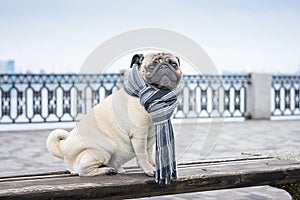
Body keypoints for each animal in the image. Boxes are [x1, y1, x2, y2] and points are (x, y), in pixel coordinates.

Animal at [47, 52, 183, 177]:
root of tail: (63, 148)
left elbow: (149, 153)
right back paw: (107, 170)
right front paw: (149, 169)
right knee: (83, 171)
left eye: (174, 64)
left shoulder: (150, 137)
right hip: (102, 151)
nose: (164, 66)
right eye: (151, 66)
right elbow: (143, 155)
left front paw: (155, 164)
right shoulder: (139, 135)